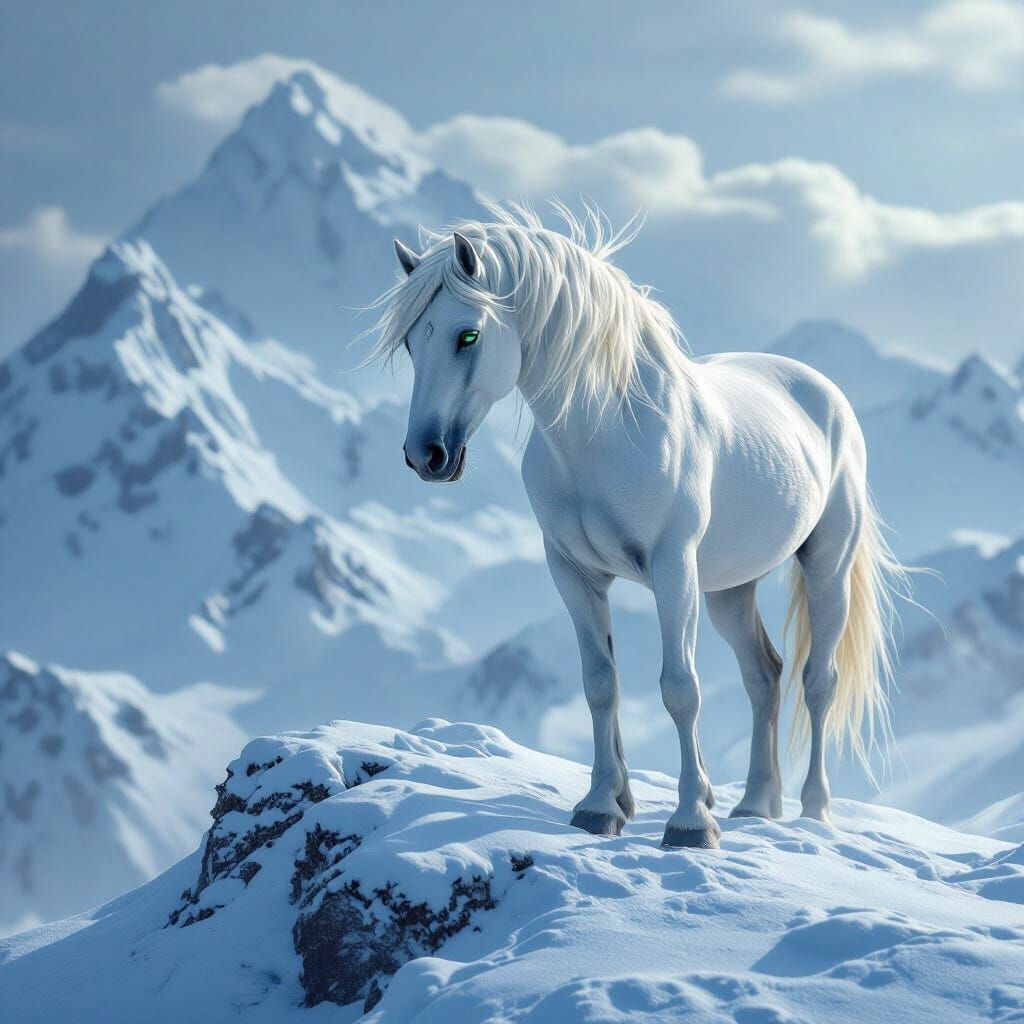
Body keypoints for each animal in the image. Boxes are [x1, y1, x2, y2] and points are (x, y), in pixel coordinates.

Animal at [373, 202, 905, 849]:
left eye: (467, 334)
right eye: (410, 341)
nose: (426, 455)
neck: (604, 432)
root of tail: (824, 394)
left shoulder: (672, 570)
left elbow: (680, 688)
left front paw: (690, 822)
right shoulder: (573, 573)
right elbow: (601, 683)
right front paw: (603, 806)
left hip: (826, 565)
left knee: (817, 680)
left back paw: (813, 812)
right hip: (728, 589)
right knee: (764, 675)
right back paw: (755, 805)